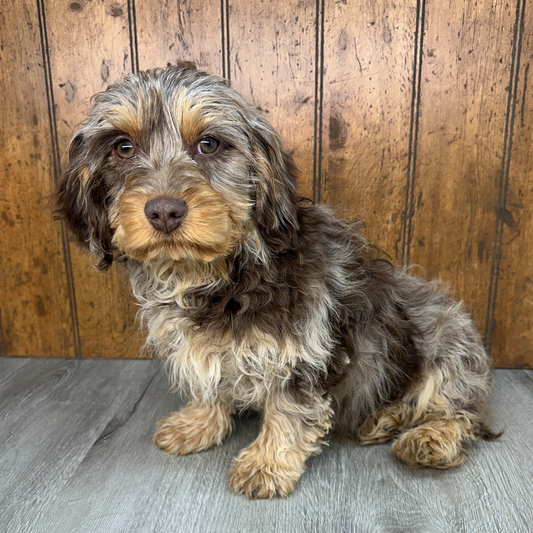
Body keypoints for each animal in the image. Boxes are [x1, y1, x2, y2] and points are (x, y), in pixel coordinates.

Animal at [56, 63, 496, 498]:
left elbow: (288, 410)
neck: (226, 273)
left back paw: (429, 437)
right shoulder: (204, 345)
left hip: (446, 341)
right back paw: (385, 420)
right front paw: (197, 424)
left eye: (209, 144)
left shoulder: (301, 350)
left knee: (464, 412)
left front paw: (266, 464)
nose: (164, 211)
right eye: (123, 148)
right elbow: (209, 383)